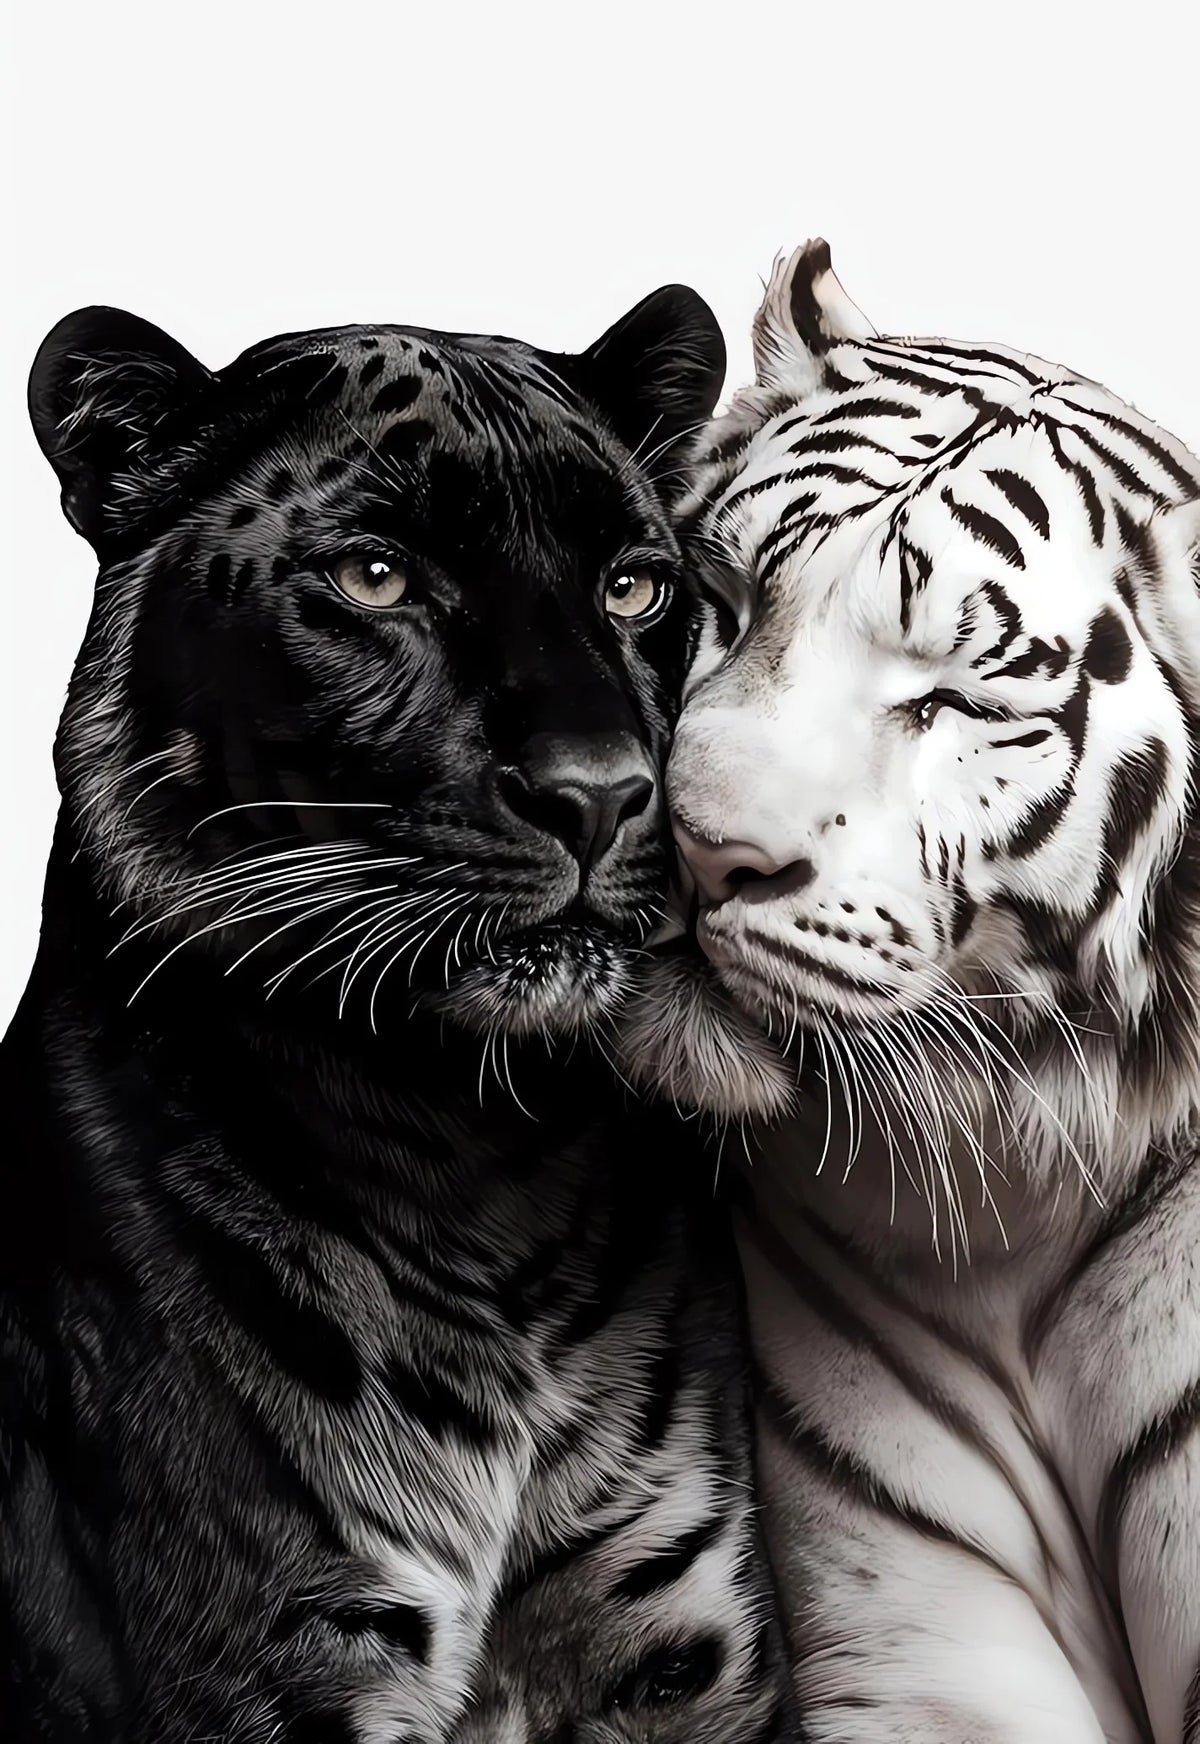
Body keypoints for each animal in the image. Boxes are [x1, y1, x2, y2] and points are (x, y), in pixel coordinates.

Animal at [1, 288, 798, 1741]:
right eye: (377, 578)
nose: (602, 792)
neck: (480, 1154)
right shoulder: (268, 1659)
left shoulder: (679, 1643)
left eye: (633, 584)